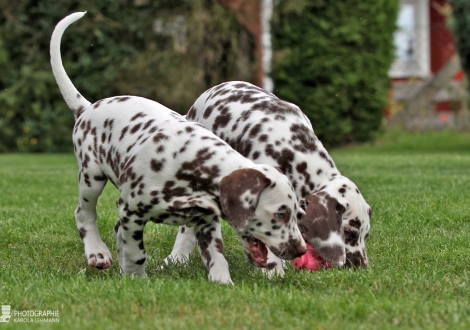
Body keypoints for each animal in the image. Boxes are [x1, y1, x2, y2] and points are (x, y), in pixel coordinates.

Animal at [48, 13, 304, 284]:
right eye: (280, 214)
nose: (301, 250)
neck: (191, 166)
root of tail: (87, 107)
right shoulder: (131, 210)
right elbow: (136, 252)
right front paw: (135, 278)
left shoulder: (207, 222)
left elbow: (217, 258)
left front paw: (223, 283)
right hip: (91, 177)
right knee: (84, 214)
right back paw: (97, 252)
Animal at [168, 80, 370, 274]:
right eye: (348, 233)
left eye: (365, 235)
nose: (361, 266)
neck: (291, 148)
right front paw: (273, 272)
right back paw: (178, 257)